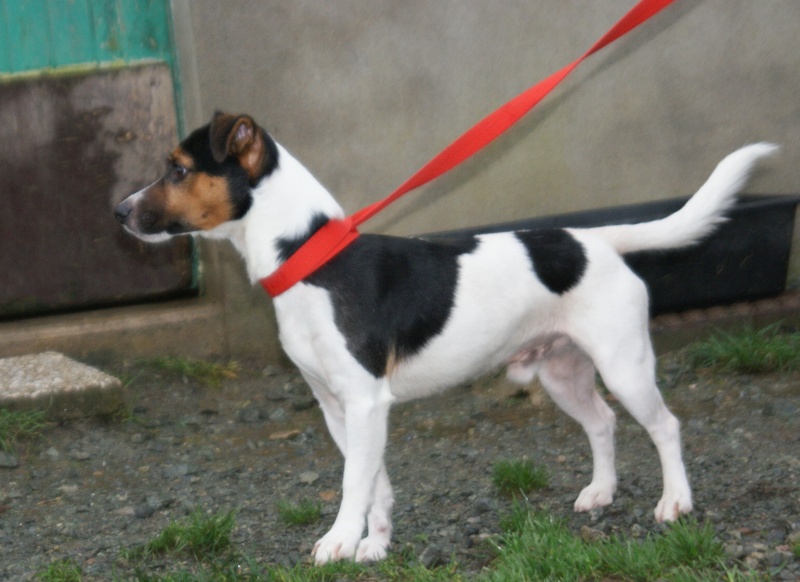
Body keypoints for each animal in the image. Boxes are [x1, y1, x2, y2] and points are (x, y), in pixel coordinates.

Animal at [115, 113, 780, 564]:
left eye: (177, 168)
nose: (119, 212)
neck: (311, 258)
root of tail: (595, 240)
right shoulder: (339, 408)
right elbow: (375, 482)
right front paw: (374, 545)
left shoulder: (364, 403)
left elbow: (354, 483)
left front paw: (338, 542)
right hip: (561, 372)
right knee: (603, 423)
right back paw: (599, 492)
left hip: (625, 365)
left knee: (665, 425)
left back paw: (676, 504)